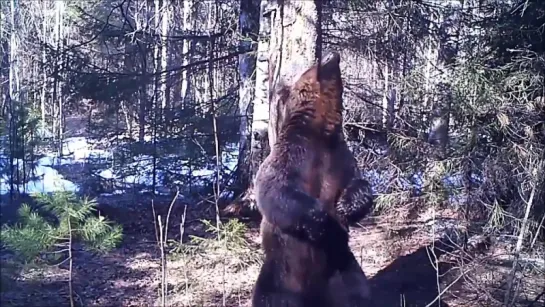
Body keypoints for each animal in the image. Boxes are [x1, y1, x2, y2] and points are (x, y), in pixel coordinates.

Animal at [252, 51, 372, 306]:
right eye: (312, 65)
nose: (332, 53)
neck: (320, 132)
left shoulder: (340, 157)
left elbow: (356, 181)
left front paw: (349, 204)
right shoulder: (292, 154)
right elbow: (275, 188)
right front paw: (319, 217)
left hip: (341, 268)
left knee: (358, 291)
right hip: (279, 276)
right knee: (269, 296)